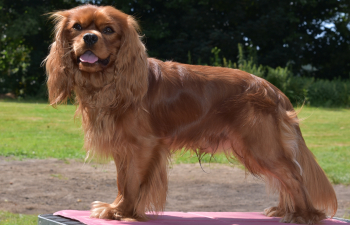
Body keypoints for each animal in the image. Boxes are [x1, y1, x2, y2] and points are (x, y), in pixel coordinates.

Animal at [43, 4, 336, 224]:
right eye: (77, 27)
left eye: (108, 30)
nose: (89, 38)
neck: (110, 81)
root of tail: (274, 90)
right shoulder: (123, 146)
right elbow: (121, 180)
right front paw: (119, 208)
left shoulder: (142, 145)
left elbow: (132, 182)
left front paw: (121, 212)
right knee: (285, 177)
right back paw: (286, 210)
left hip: (261, 145)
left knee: (294, 175)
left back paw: (305, 215)